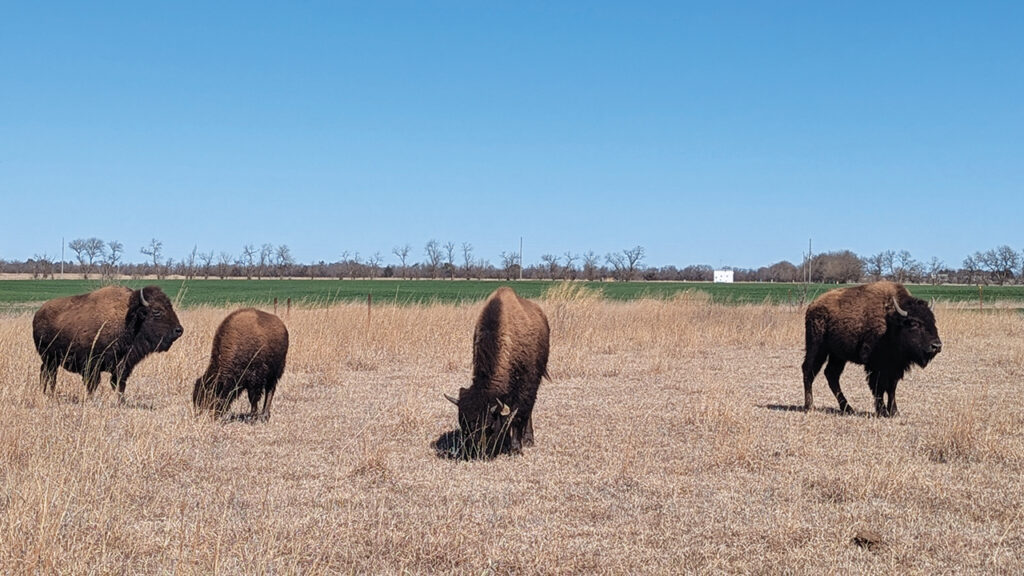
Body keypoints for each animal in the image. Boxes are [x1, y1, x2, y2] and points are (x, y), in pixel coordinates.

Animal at [32, 285, 184, 401]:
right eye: (157, 311)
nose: (179, 330)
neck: (129, 321)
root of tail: (38, 313)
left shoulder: (123, 366)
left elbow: (119, 385)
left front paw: (121, 402)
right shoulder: (92, 365)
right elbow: (93, 384)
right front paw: (91, 400)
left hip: (52, 360)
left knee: (49, 375)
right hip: (49, 359)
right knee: (48, 374)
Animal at [444, 286, 550, 457]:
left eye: (490, 427)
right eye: (463, 426)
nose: (475, 452)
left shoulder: (525, 387)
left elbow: (518, 415)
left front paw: (516, 448)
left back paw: (528, 439)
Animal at [802, 281, 942, 417]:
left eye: (933, 321)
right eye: (914, 323)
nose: (936, 346)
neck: (891, 323)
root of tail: (812, 306)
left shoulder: (895, 366)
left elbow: (892, 388)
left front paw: (894, 412)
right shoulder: (875, 366)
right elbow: (878, 387)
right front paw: (882, 411)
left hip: (838, 356)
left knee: (831, 375)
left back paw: (848, 408)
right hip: (817, 348)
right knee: (808, 371)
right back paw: (810, 407)